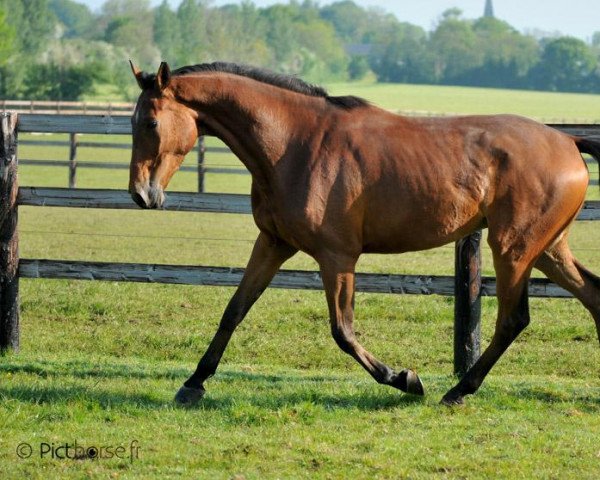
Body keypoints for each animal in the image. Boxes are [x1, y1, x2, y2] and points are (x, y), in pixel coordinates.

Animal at [130, 60, 600, 404]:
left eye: (150, 123)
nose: (141, 194)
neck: (295, 144)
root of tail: (568, 142)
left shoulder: (337, 256)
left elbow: (342, 330)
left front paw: (405, 379)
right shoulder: (273, 243)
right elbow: (234, 310)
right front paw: (193, 384)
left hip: (514, 249)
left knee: (513, 318)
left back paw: (457, 391)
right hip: (548, 249)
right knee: (591, 296)